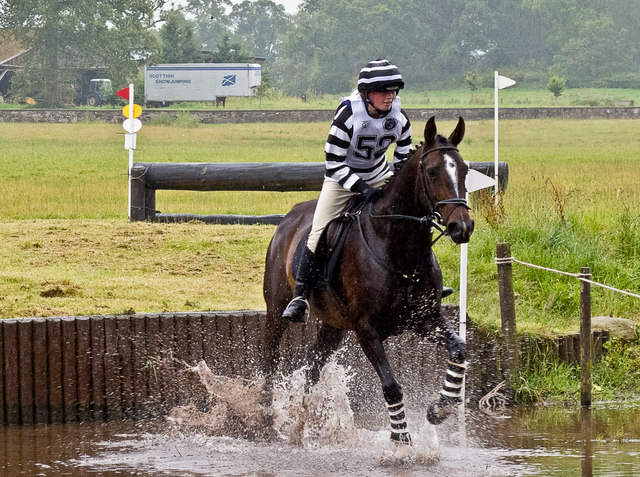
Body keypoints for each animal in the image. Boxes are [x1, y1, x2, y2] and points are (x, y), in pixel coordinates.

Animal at [262, 117, 476, 444]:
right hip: (276, 310)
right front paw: (402, 444)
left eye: (464, 169)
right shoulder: (367, 330)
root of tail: (288, 219)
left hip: (334, 325)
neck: (399, 248)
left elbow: (459, 350)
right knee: (270, 360)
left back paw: (305, 423)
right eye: (431, 171)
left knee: (313, 366)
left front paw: (440, 408)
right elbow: (391, 386)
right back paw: (266, 417)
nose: (461, 227)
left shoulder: (425, 319)